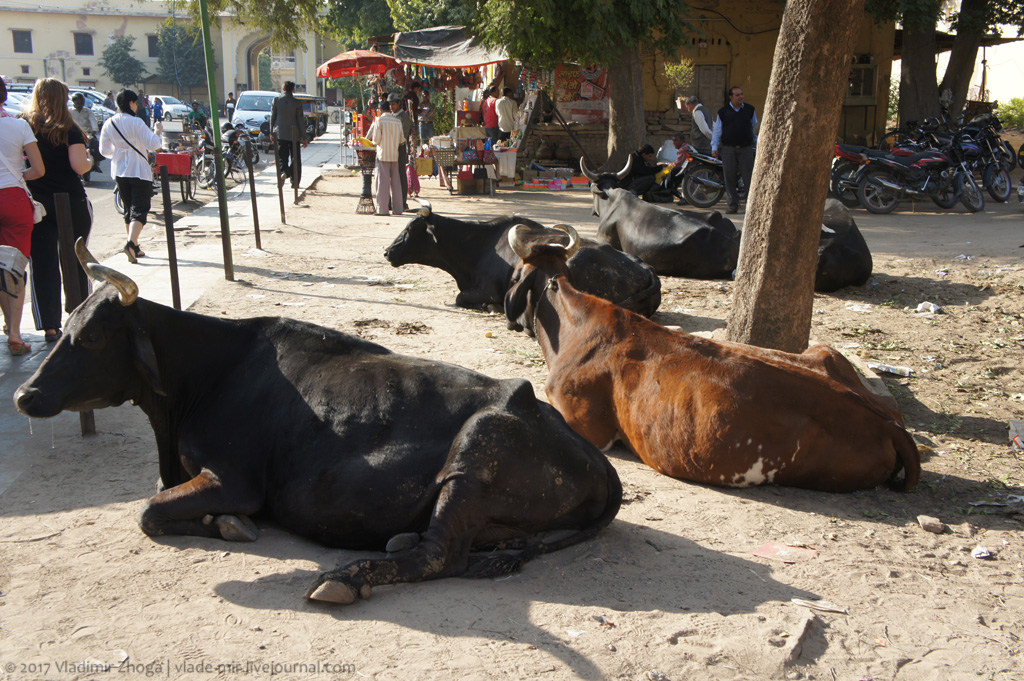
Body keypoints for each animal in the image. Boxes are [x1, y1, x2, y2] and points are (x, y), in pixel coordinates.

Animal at [16, 240, 622, 606]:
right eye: (66, 323)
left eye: (92, 336)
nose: (24, 394)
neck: (205, 378)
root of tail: (597, 460)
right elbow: (155, 499)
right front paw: (221, 522)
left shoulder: (235, 478)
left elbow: (148, 511)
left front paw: (228, 523)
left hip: (479, 446)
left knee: (441, 553)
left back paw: (343, 579)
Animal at [385, 199, 663, 319]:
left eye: (410, 228)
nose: (387, 251)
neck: (479, 246)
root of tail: (646, 268)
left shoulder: (484, 289)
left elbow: (461, 298)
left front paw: (491, 307)